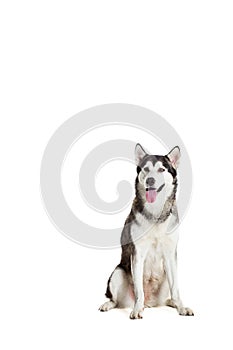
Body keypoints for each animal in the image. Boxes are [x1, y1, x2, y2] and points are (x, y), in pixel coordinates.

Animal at [98, 144, 193, 318]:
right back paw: (111, 304)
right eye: (146, 169)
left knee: (169, 296)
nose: (150, 180)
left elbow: (176, 289)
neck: (156, 215)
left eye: (162, 169)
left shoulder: (170, 254)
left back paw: (174, 304)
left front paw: (182, 307)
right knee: (116, 300)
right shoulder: (137, 253)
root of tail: (150, 303)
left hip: (165, 279)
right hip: (117, 273)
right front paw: (136, 310)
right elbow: (139, 290)